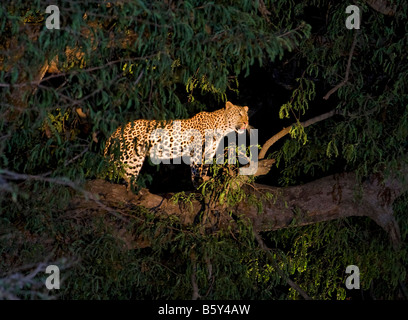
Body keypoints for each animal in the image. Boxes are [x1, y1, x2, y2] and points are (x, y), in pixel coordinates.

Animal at [103, 101, 250, 189]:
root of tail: (116, 130)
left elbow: (202, 169)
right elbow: (197, 168)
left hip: (134, 159)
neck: (222, 128)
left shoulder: (208, 153)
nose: (246, 123)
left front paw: (202, 181)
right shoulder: (198, 150)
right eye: (239, 114)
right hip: (124, 155)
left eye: (246, 116)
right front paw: (198, 183)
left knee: (127, 173)